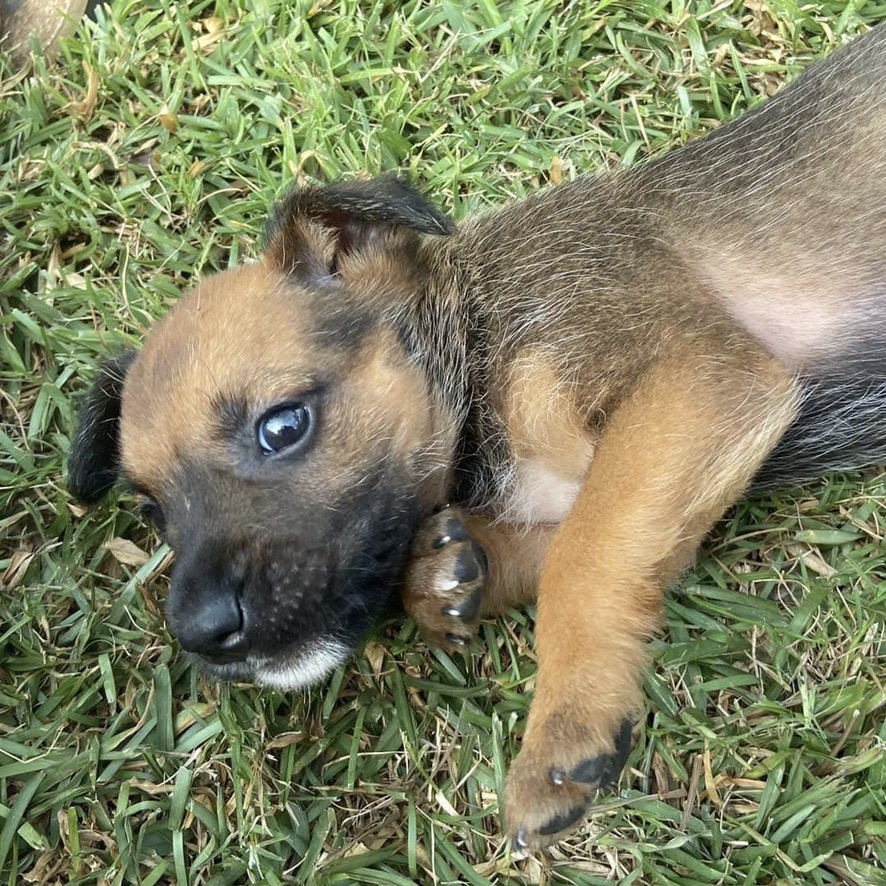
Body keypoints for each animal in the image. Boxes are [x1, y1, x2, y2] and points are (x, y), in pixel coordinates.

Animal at [67, 27, 886, 852]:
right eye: (152, 513)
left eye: (283, 426)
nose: (200, 633)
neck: (479, 336)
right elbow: (588, 538)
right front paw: (453, 572)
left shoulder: (699, 378)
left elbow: (587, 556)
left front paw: (566, 725)